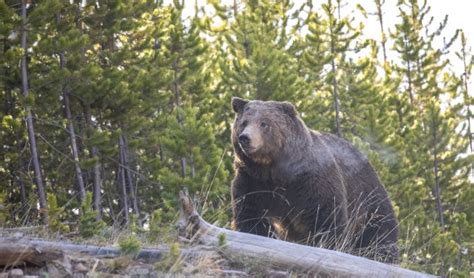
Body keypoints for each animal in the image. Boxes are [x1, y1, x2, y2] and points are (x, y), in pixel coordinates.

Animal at [231, 97, 398, 262]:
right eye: (244, 122)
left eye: (264, 123)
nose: (245, 138)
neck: (273, 169)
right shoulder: (253, 181)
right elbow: (251, 214)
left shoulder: (311, 181)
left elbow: (326, 217)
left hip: (368, 197)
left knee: (379, 232)